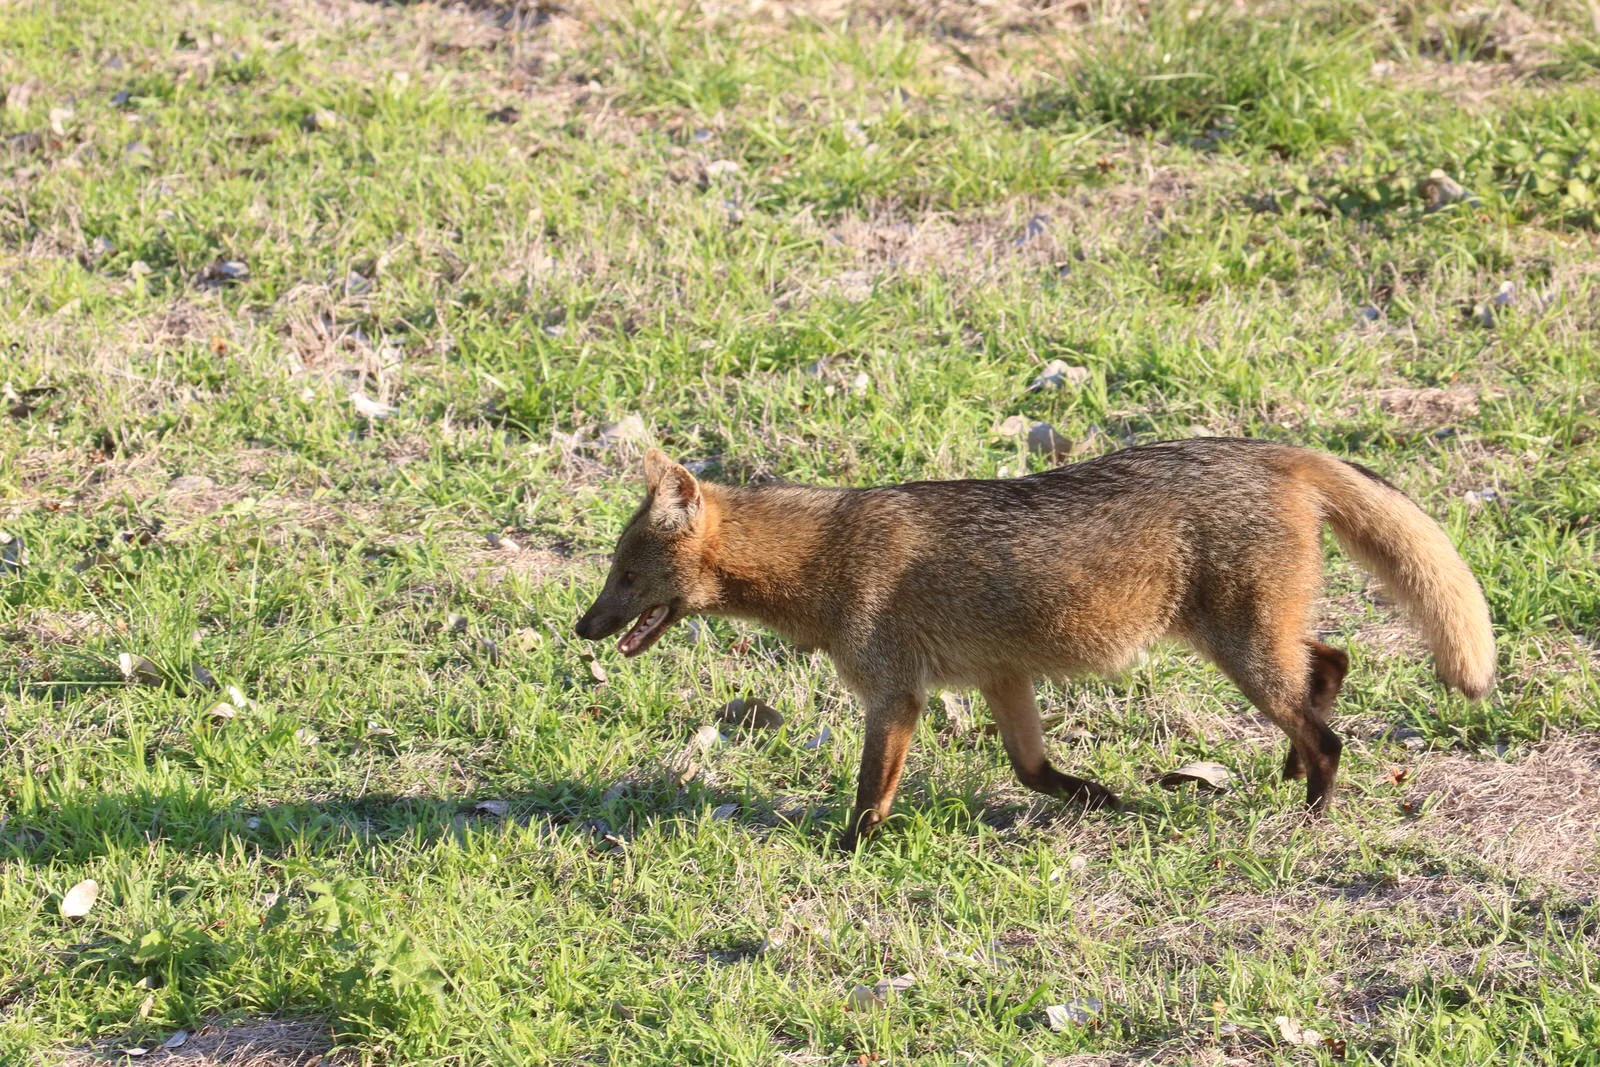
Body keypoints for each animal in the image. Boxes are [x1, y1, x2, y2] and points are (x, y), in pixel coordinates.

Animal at [574, 438, 1494, 848]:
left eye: (623, 575)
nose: (582, 626)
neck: (828, 552)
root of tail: (1271, 448)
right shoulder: (1001, 678)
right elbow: (1033, 770)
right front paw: (1101, 797)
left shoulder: (894, 694)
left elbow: (872, 793)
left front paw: (849, 848)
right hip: (1263, 646)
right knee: (1332, 667)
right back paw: (1291, 770)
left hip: (1244, 655)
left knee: (1329, 728)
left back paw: (1312, 810)